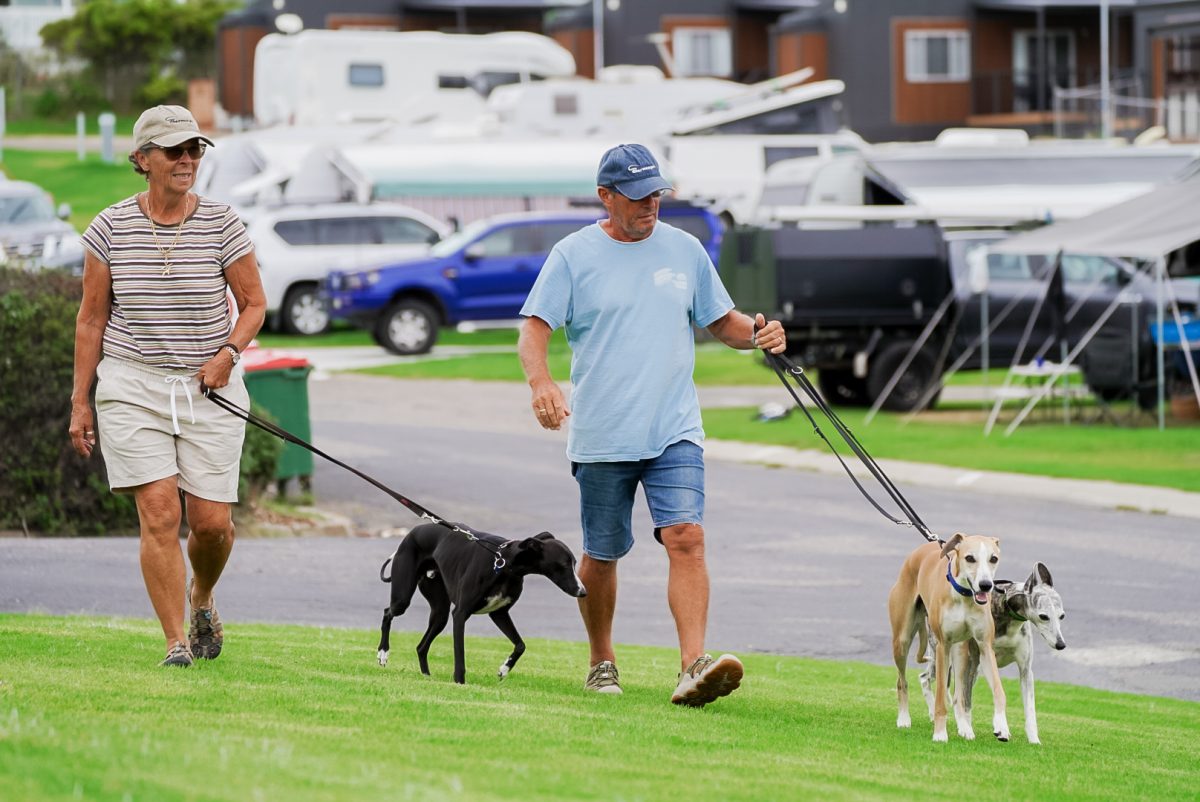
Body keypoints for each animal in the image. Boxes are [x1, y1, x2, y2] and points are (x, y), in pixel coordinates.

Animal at [372, 523, 583, 686]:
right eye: (564, 565)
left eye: (574, 563)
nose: (583, 592)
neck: (504, 563)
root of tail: (413, 531)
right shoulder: (460, 614)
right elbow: (460, 654)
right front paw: (459, 682)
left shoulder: (499, 613)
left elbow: (520, 645)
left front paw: (504, 669)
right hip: (403, 597)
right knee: (388, 612)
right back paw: (383, 652)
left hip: (440, 613)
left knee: (421, 646)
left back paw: (426, 676)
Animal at [888, 533, 1008, 744]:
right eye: (970, 558)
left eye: (993, 558)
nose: (985, 585)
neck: (964, 596)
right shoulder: (942, 646)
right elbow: (940, 698)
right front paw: (939, 734)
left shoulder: (984, 646)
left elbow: (998, 691)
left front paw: (1001, 726)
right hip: (902, 640)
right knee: (901, 681)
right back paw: (903, 718)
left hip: (959, 650)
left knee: (959, 695)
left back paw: (965, 728)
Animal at [916, 564, 1070, 744]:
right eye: (1044, 616)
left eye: (1062, 616)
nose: (1060, 644)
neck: (1005, 607)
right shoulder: (977, 661)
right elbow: (969, 702)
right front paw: (999, 727)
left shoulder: (1025, 670)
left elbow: (1030, 709)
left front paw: (1034, 740)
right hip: (946, 657)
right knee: (926, 678)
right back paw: (938, 715)